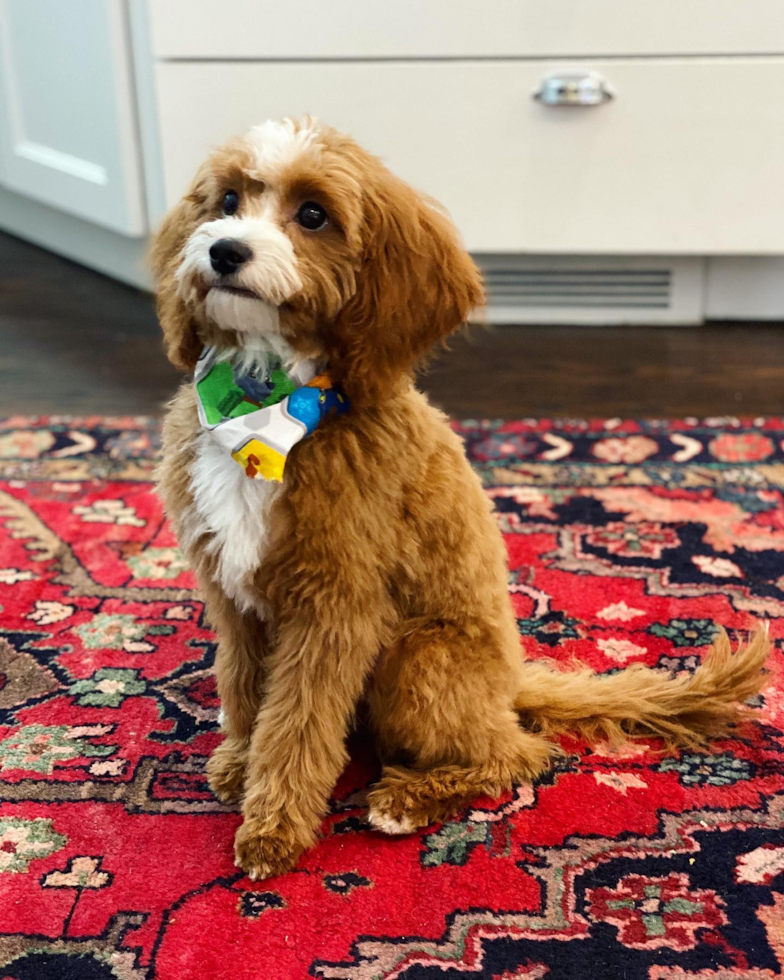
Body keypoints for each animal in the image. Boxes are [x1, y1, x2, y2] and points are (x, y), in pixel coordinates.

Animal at [155, 117, 772, 880]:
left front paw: (273, 828)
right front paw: (241, 763)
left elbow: (296, 721)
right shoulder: (232, 592)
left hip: (418, 655)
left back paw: (407, 799)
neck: (263, 407)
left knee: (517, 753)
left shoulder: (336, 608)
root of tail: (511, 686)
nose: (224, 249)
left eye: (313, 214)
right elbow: (244, 690)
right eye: (227, 199)